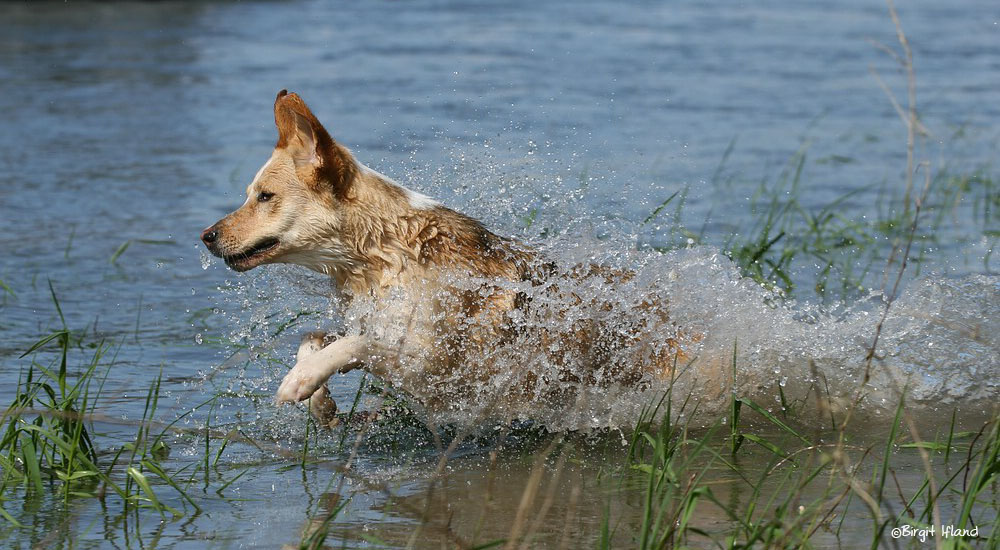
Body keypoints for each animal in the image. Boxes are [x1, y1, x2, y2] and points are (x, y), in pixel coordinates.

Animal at [199, 92, 692, 424]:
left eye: (265, 197)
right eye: (250, 194)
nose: (205, 236)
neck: (382, 254)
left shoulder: (434, 361)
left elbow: (356, 343)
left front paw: (298, 381)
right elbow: (315, 337)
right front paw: (318, 397)